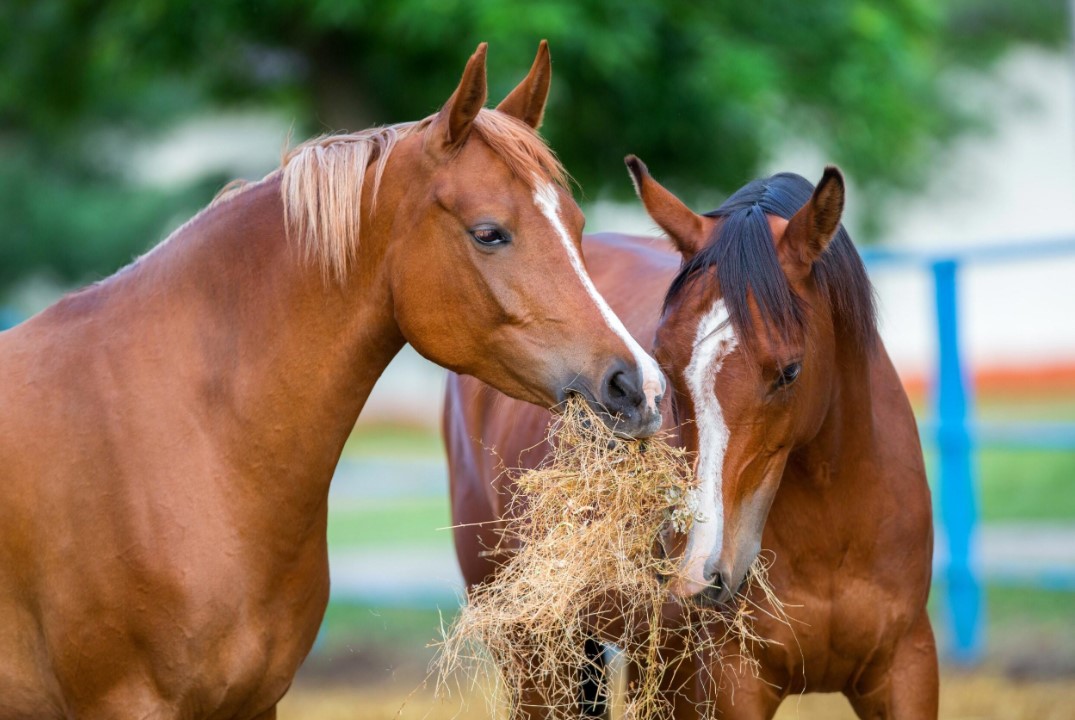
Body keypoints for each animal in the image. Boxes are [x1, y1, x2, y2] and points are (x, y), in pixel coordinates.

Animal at [446, 159, 937, 718]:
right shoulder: (727, 686)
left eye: (790, 371)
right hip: (537, 659)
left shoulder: (906, 669)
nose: (700, 573)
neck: (835, 529)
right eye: (664, 361)